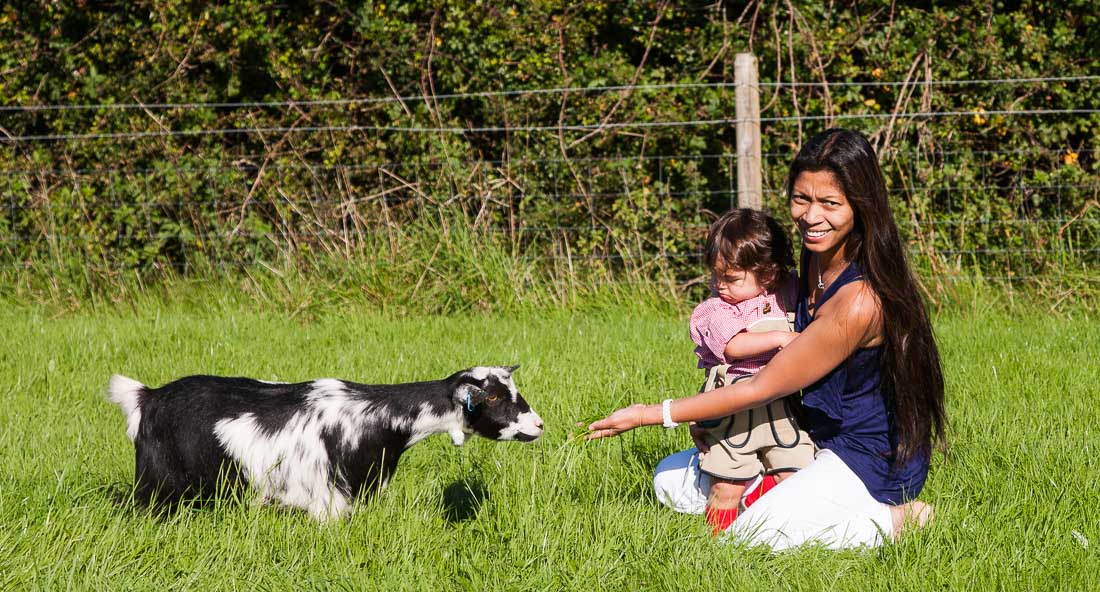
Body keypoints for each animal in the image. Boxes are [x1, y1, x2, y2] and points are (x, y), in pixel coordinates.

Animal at [105, 360, 543, 519]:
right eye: (493, 397)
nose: (538, 425)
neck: (376, 417)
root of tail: (147, 396)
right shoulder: (329, 503)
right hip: (156, 485)